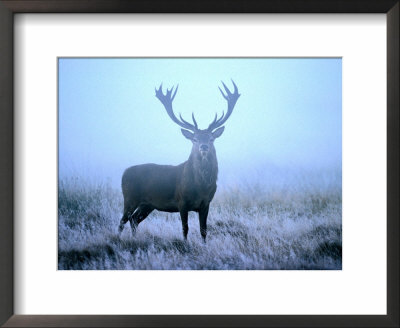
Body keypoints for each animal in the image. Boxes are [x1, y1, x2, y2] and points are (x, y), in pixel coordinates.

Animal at [117, 80, 239, 242]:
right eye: (195, 139)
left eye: (211, 138)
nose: (204, 146)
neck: (201, 187)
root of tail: (124, 172)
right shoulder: (182, 202)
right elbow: (185, 229)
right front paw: (186, 244)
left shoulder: (206, 203)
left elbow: (204, 230)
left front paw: (204, 245)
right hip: (130, 197)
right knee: (123, 220)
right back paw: (117, 238)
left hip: (147, 204)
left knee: (134, 219)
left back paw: (134, 238)